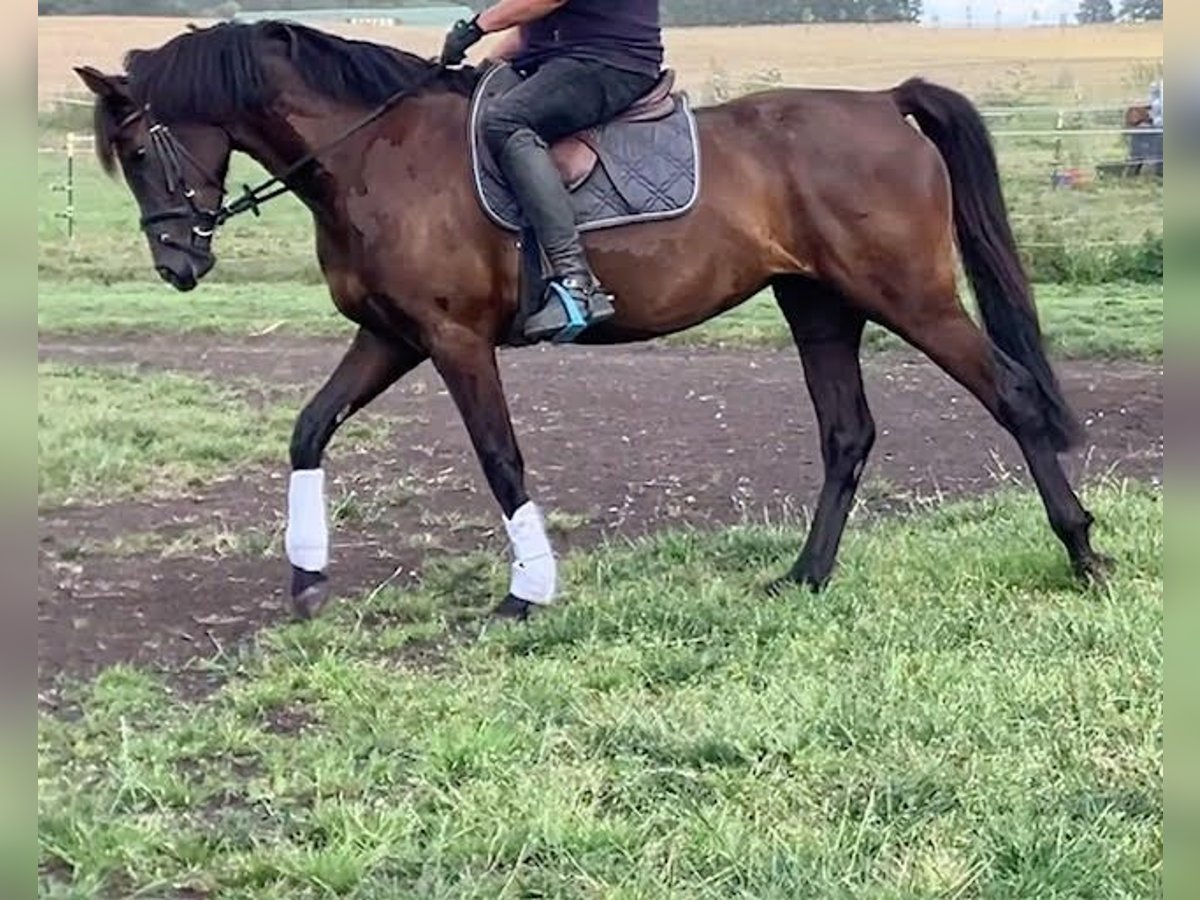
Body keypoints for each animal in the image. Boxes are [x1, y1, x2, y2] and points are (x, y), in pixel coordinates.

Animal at [72, 22, 1104, 628]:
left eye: (137, 150)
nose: (177, 265)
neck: (374, 152)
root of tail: (885, 103)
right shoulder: (391, 337)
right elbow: (308, 429)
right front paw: (306, 578)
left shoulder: (452, 341)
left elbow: (501, 460)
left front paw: (525, 594)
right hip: (819, 307)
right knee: (848, 434)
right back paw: (804, 578)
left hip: (912, 298)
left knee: (1013, 395)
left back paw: (1084, 553)